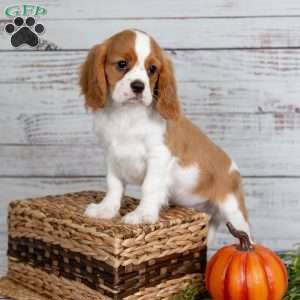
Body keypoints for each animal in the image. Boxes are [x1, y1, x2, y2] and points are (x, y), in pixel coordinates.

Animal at [79, 29, 251, 247]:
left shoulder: (158, 155)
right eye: (122, 64)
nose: (138, 86)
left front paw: (142, 214)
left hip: (233, 210)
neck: (127, 115)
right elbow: (114, 185)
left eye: (152, 69)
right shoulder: (111, 155)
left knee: (249, 237)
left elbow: (150, 186)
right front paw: (106, 209)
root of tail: (235, 171)